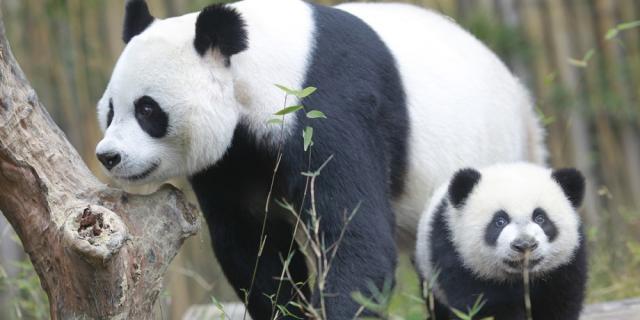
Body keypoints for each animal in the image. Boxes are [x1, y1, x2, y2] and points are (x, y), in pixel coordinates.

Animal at [95, 0, 544, 318]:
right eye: (111, 110)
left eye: (148, 110)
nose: (108, 156)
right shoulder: (232, 157)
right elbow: (253, 243)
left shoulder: (329, 107)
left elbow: (356, 238)